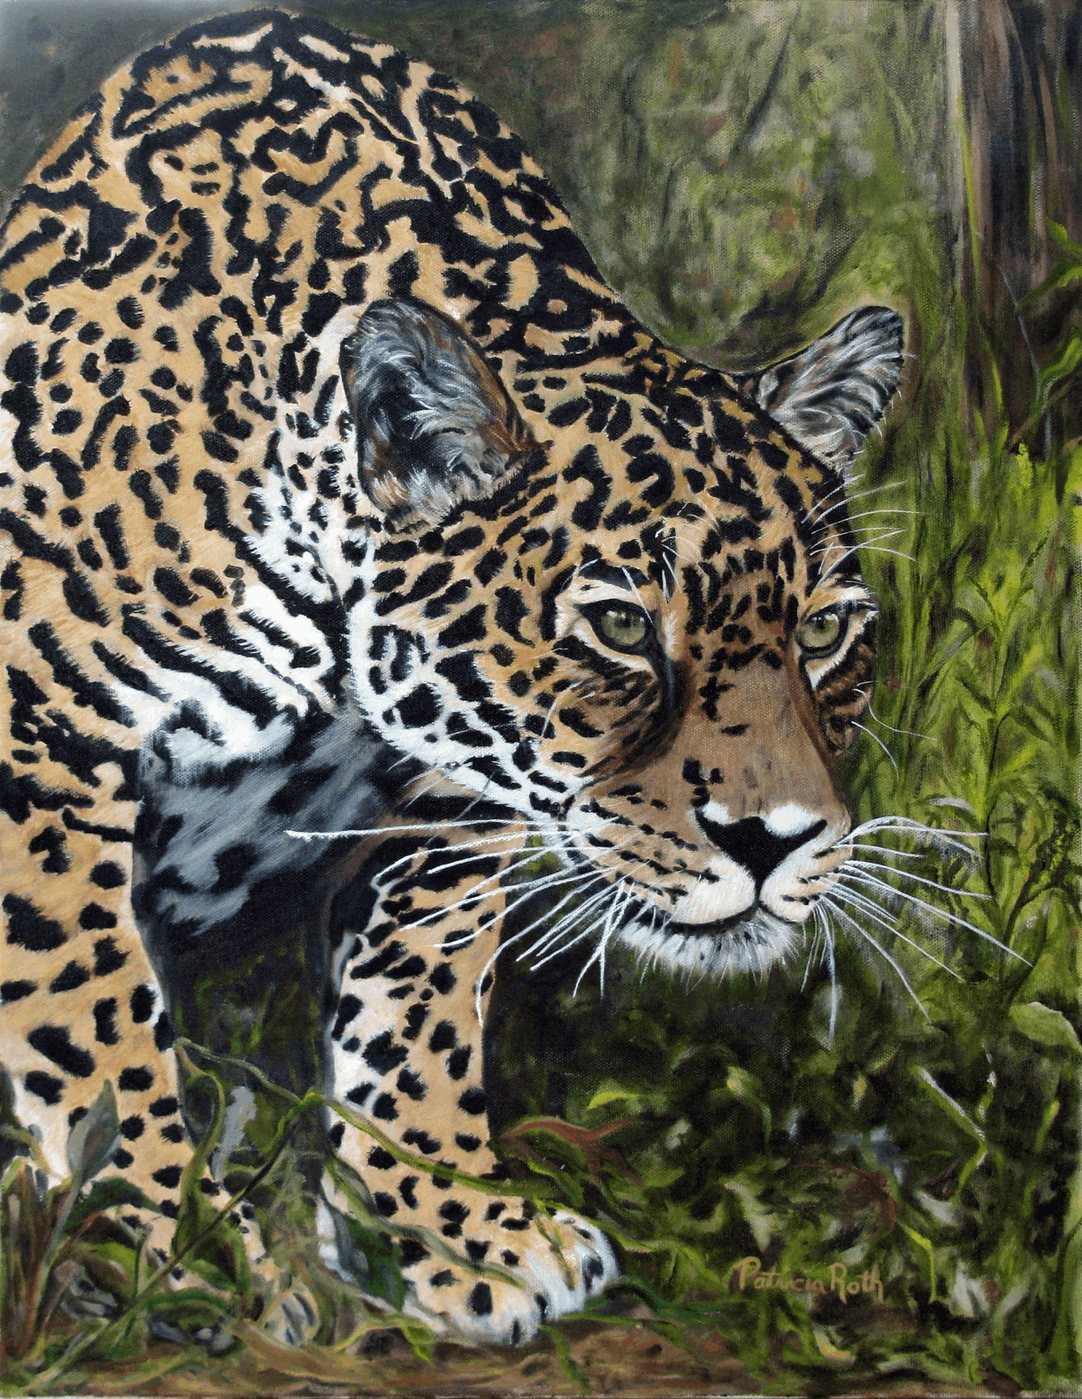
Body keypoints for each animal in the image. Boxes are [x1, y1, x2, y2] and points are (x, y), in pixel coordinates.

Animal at [0, 8, 904, 1347]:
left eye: (827, 632)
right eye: (620, 625)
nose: (775, 841)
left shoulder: (450, 799)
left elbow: (416, 1005)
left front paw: (437, 1231)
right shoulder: (41, 753)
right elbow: (92, 1028)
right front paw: (175, 1256)